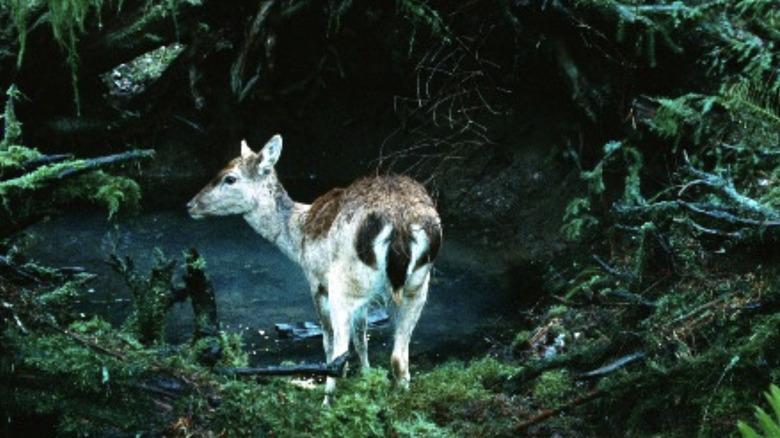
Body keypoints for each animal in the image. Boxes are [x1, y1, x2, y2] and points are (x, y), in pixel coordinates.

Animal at [186, 134, 442, 401]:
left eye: (230, 178)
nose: (190, 205)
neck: (298, 233)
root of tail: (399, 224)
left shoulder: (316, 280)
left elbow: (329, 341)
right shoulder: (364, 299)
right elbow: (362, 338)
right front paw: (368, 378)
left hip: (346, 282)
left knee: (339, 355)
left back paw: (326, 401)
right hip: (416, 286)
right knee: (399, 358)